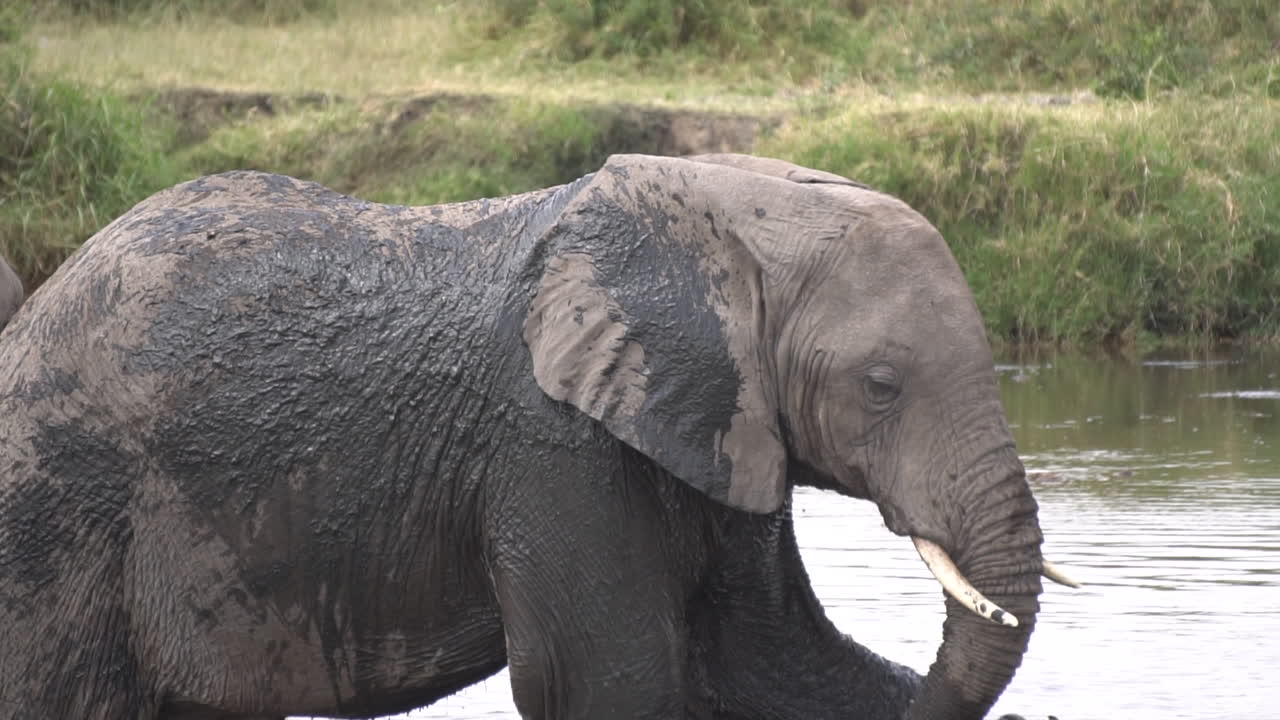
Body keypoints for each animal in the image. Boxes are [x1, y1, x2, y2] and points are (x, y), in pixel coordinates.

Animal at [0, 153, 1072, 720]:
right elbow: (609, 682)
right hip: (56, 513)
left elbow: (768, 665)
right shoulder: (556, 448)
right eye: (882, 388)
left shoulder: (718, 421)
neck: (732, 207)